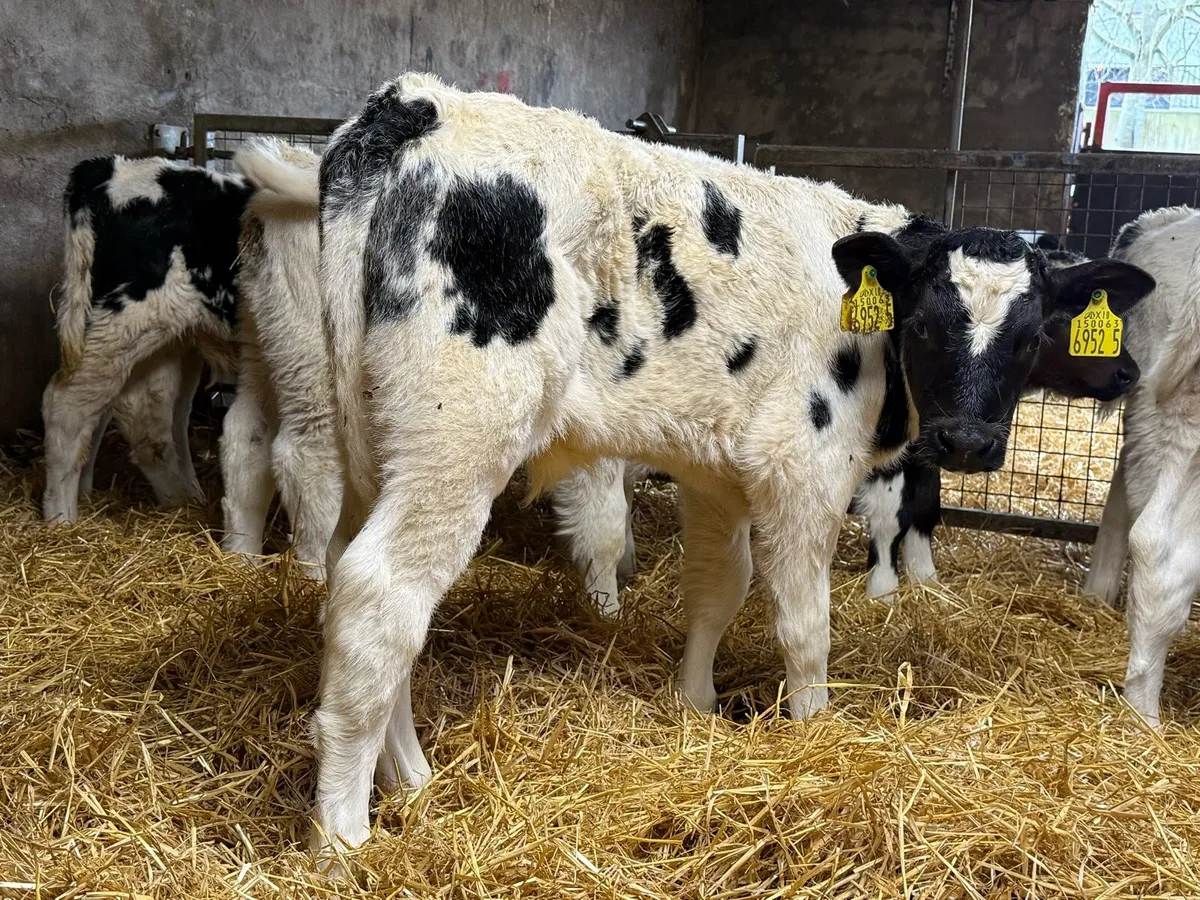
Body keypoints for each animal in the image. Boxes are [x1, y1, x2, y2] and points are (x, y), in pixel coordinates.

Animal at [853, 245, 1146, 598]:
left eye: (1034, 337)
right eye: (1062, 322)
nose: (1129, 372)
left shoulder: (930, 444)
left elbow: (925, 501)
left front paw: (924, 574)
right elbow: (888, 511)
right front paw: (883, 588)